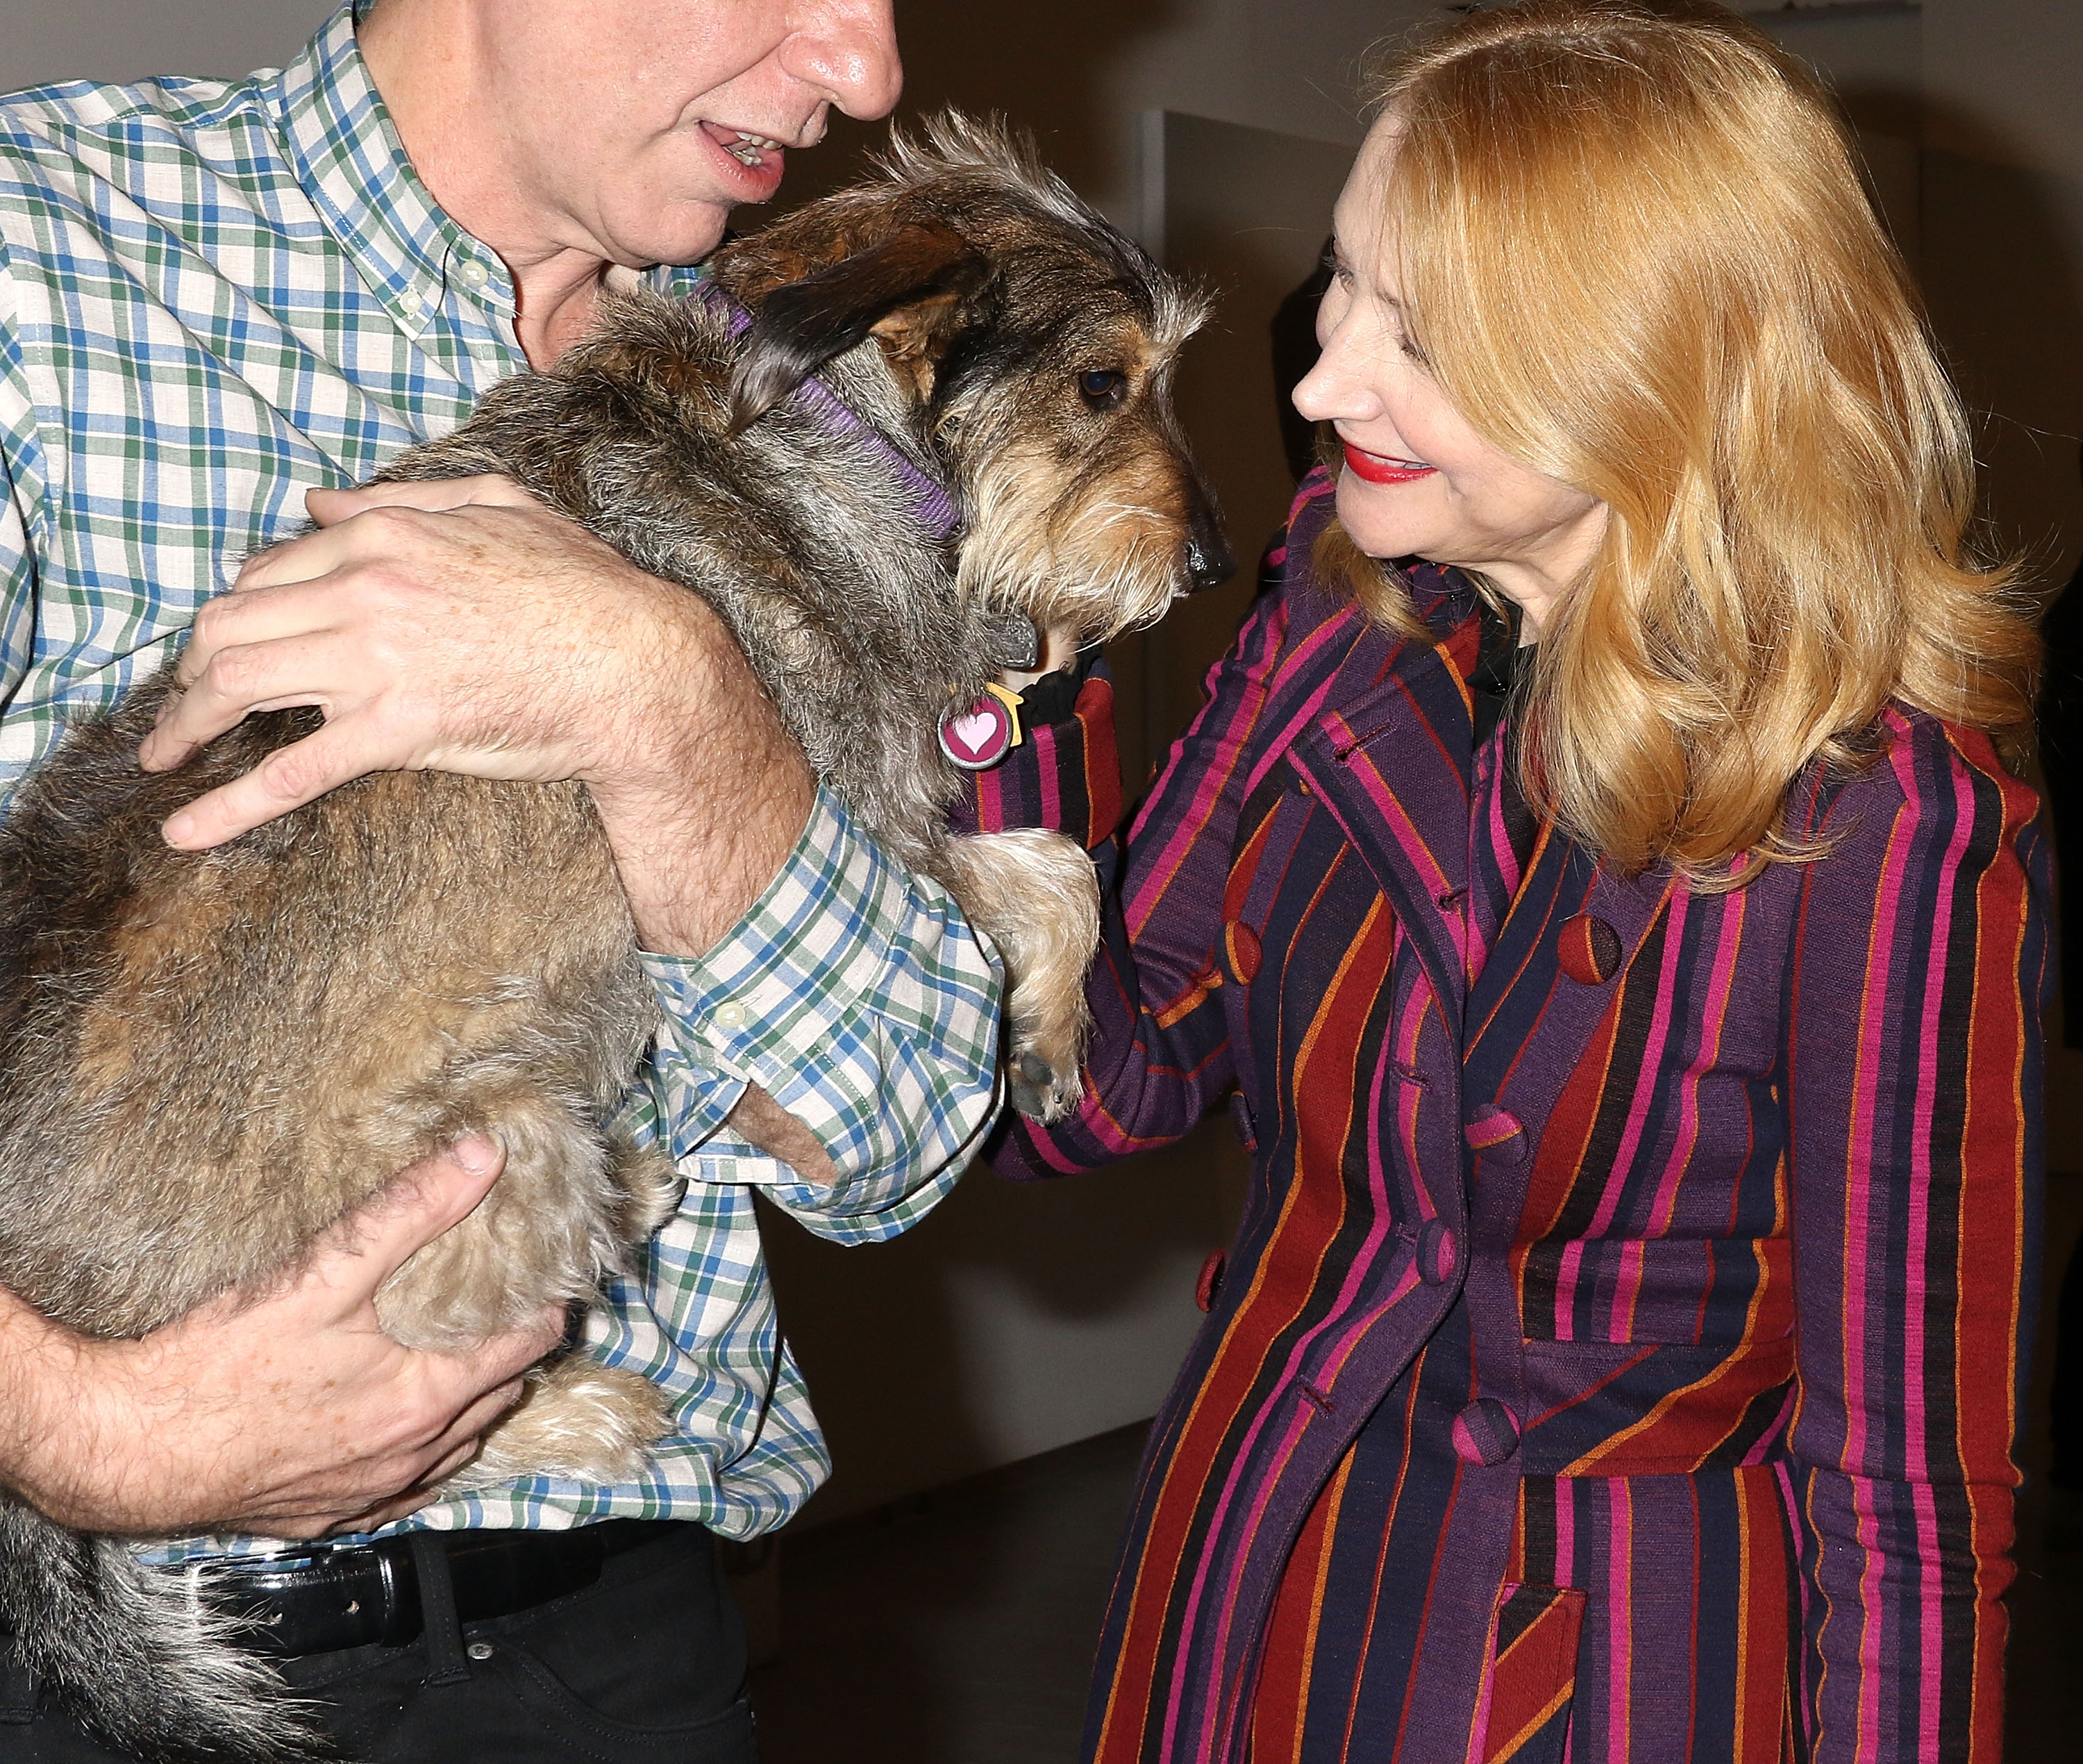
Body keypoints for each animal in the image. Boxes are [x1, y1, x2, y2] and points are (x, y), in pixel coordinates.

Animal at [0, 114, 1225, 1764]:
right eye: (1104, 382)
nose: (1213, 565)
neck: (834, 434)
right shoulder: (875, 820)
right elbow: (1053, 873)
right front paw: (1054, 1025)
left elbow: (1050, 874)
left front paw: (1050, 1031)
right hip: (501, 1162)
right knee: (361, 1439)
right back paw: (578, 1393)